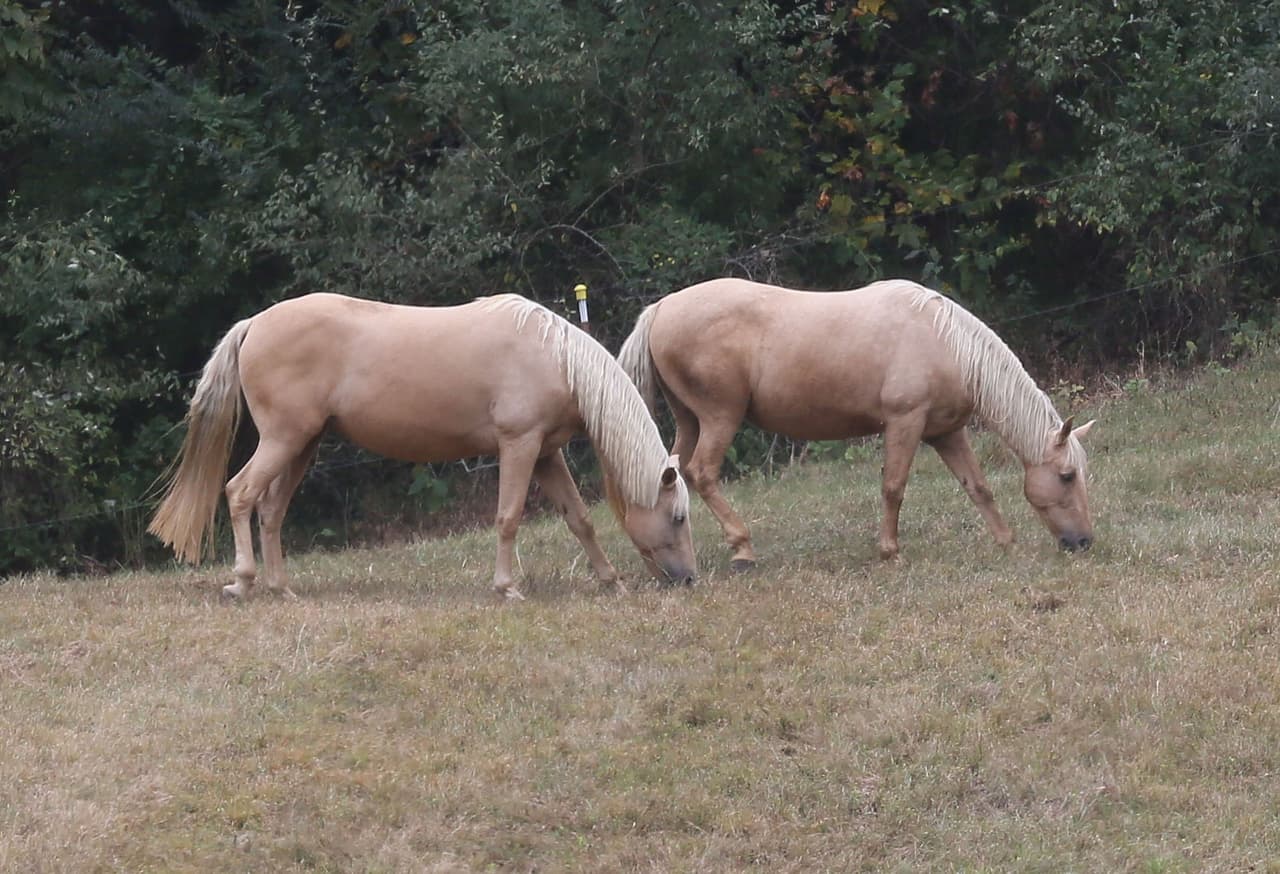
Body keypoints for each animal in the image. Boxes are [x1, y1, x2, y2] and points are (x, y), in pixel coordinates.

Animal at [149, 292, 696, 600]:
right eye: (678, 517)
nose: (688, 579)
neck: (553, 356)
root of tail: (255, 323)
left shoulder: (545, 453)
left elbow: (579, 518)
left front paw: (611, 582)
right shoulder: (519, 446)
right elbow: (508, 517)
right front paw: (507, 588)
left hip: (301, 446)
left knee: (270, 511)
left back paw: (282, 589)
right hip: (284, 440)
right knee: (240, 494)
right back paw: (242, 582)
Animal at [618, 278, 1096, 569]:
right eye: (1067, 476)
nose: (1084, 542)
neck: (943, 340)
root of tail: (660, 308)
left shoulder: (946, 432)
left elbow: (977, 486)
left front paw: (1005, 541)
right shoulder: (905, 423)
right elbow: (893, 487)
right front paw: (889, 552)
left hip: (690, 421)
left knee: (670, 475)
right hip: (720, 417)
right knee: (702, 472)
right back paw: (743, 550)